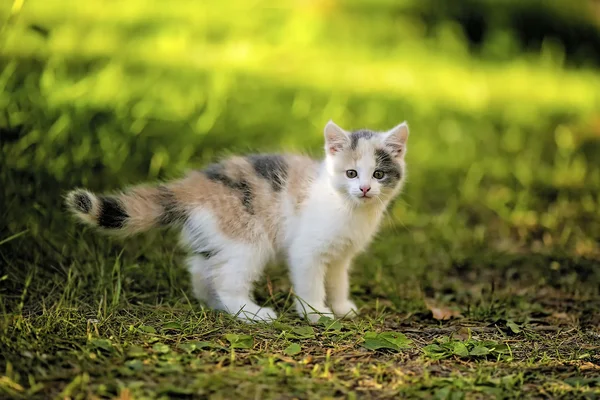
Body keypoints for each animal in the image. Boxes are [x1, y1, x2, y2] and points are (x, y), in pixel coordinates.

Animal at [67, 120, 412, 324]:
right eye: (351, 173)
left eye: (379, 174)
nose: (365, 189)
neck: (350, 209)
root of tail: (195, 185)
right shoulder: (306, 251)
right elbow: (311, 283)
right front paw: (316, 313)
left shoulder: (342, 254)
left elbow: (338, 280)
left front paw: (341, 307)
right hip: (247, 239)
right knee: (227, 278)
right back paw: (251, 312)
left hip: (218, 235)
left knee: (203, 268)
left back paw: (213, 303)